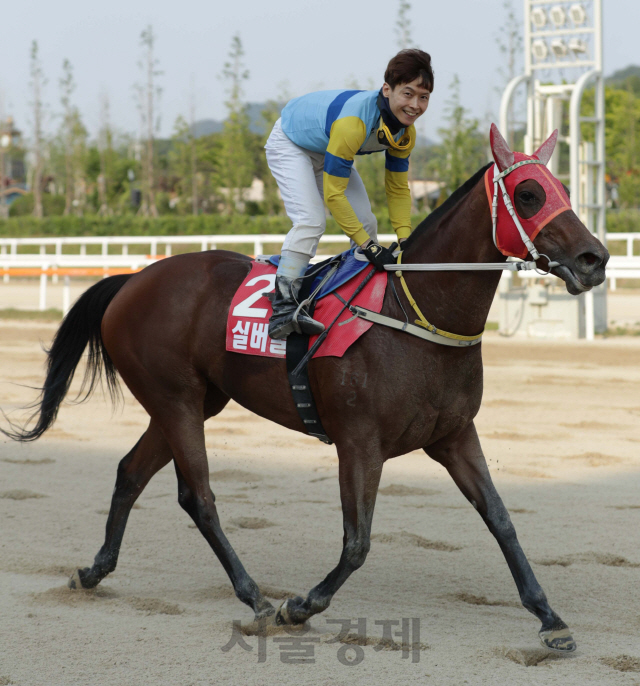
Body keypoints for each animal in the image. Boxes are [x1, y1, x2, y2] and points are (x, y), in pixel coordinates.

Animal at [3, 126, 604, 652]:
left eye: (567, 191)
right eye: (528, 194)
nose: (595, 258)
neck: (416, 314)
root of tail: (132, 280)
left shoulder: (454, 436)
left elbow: (502, 521)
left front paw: (550, 619)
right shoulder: (359, 443)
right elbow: (357, 543)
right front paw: (300, 606)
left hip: (192, 400)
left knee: (131, 472)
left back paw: (93, 571)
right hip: (176, 400)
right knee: (199, 496)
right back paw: (256, 599)